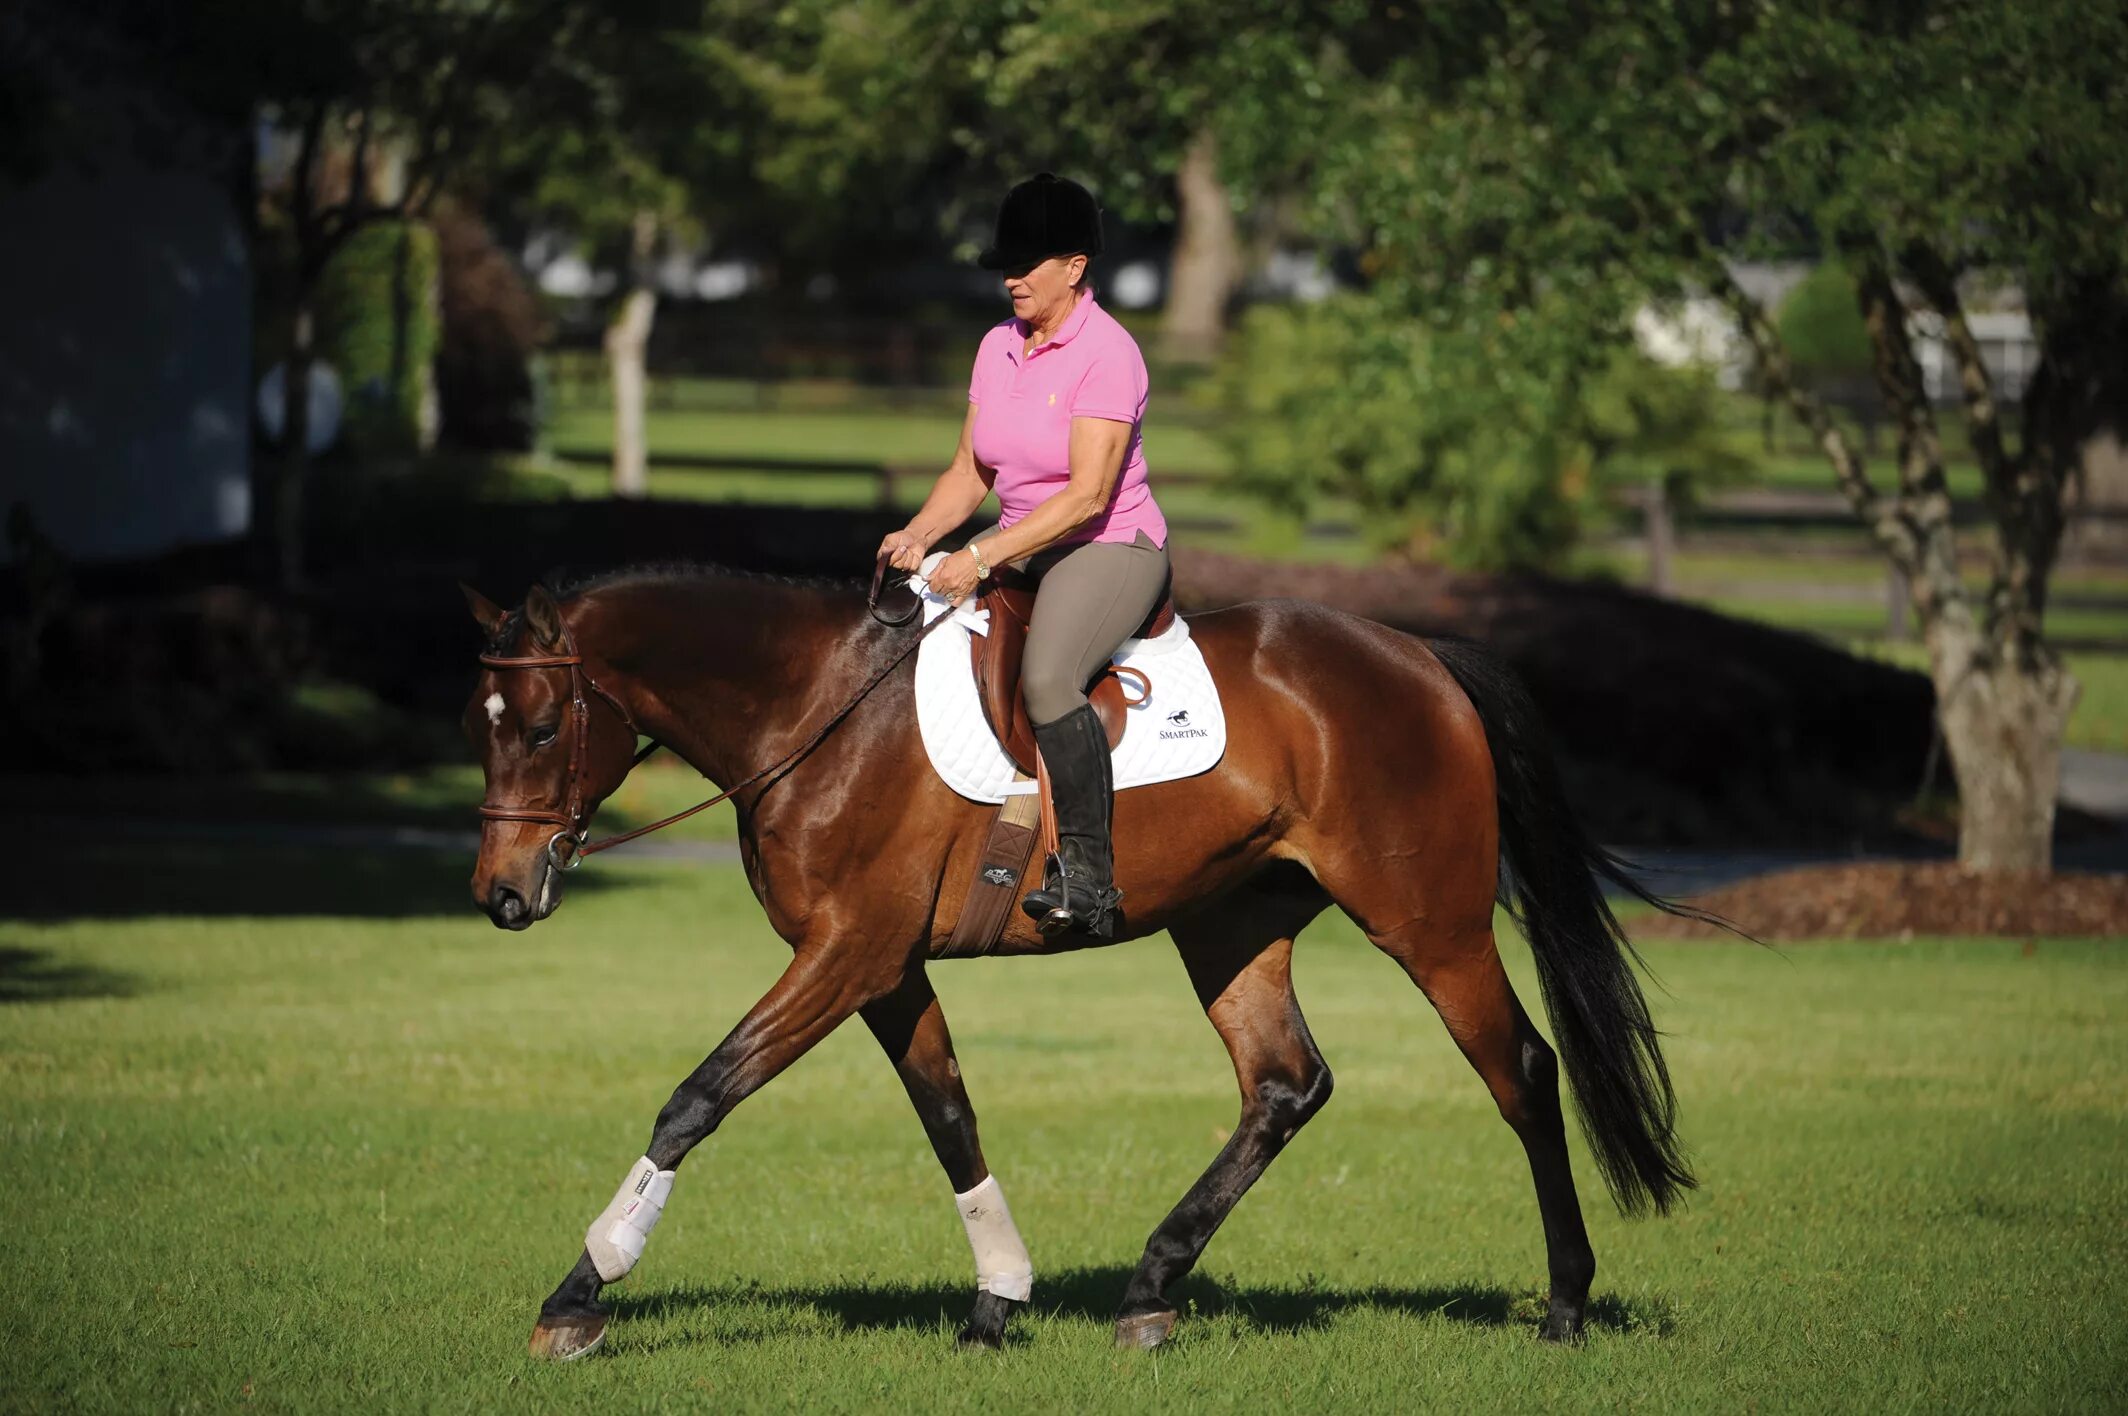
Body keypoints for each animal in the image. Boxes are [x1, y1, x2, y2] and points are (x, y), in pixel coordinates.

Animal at [461, 562, 1693, 1362]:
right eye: (482, 726)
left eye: (537, 728)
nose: (501, 897)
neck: (814, 711)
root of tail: (1417, 654)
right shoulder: (883, 967)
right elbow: (950, 1117)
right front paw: (998, 1300)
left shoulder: (847, 954)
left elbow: (700, 1096)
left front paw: (583, 1289)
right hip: (1230, 924)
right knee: (1283, 1084)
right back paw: (1150, 1287)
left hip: (1427, 922)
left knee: (1520, 1071)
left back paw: (1566, 1305)